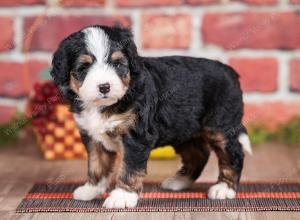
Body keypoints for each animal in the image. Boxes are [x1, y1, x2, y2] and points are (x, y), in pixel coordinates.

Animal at [50, 24, 252, 209]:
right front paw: (91, 189)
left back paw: (224, 188)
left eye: (117, 64)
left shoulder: (135, 136)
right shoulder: (93, 137)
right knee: (198, 154)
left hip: (221, 125)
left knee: (234, 154)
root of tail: (230, 72)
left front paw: (122, 197)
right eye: (83, 67)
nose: (104, 87)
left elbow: (129, 167)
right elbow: (97, 164)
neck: (105, 105)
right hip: (183, 129)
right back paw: (179, 181)